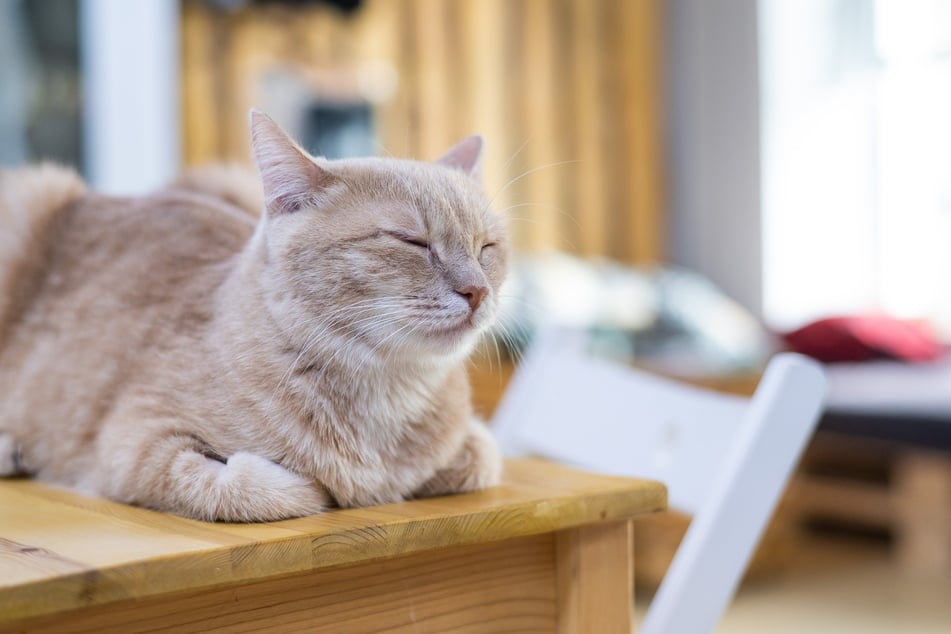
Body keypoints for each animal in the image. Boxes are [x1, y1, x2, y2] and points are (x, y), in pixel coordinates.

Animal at [0, 111, 510, 520]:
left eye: (486, 246)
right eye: (412, 241)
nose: (477, 291)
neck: (388, 394)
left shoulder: (474, 443)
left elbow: (478, 460)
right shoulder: (132, 445)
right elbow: (252, 485)